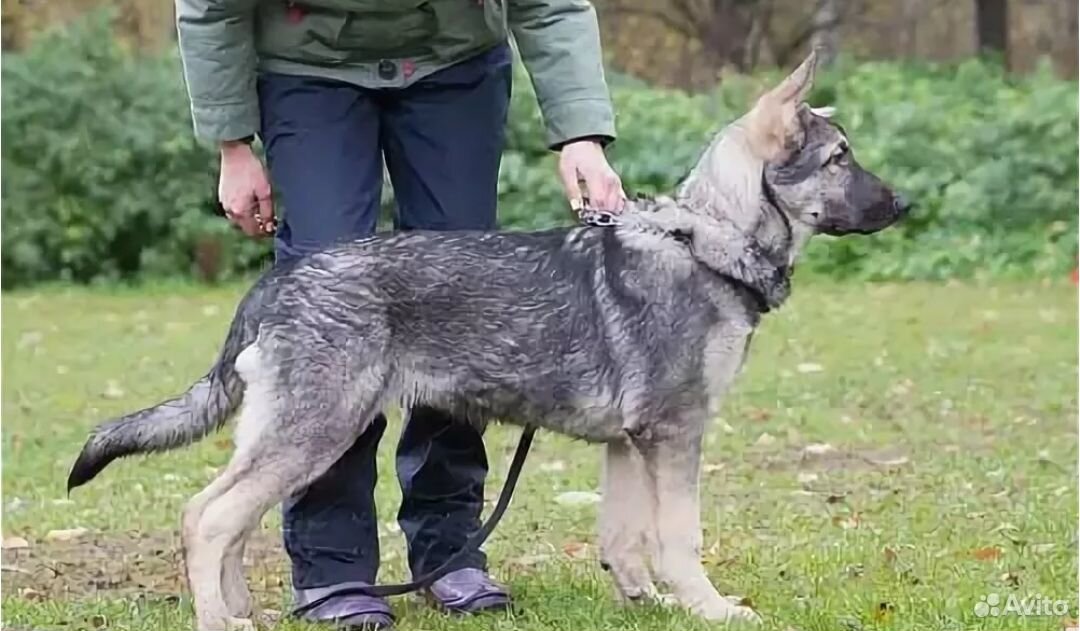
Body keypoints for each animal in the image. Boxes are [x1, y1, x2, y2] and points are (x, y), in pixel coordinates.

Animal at [67, 51, 907, 626]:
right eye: (839, 159)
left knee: (232, 519)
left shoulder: (629, 442)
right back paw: (220, 617)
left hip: (291, 438)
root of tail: (281, 280)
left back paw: (244, 611)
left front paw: (647, 602)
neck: (708, 240)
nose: (903, 204)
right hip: (315, 433)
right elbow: (681, 538)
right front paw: (710, 607)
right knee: (205, 517)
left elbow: (626, 537)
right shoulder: (674, 435)